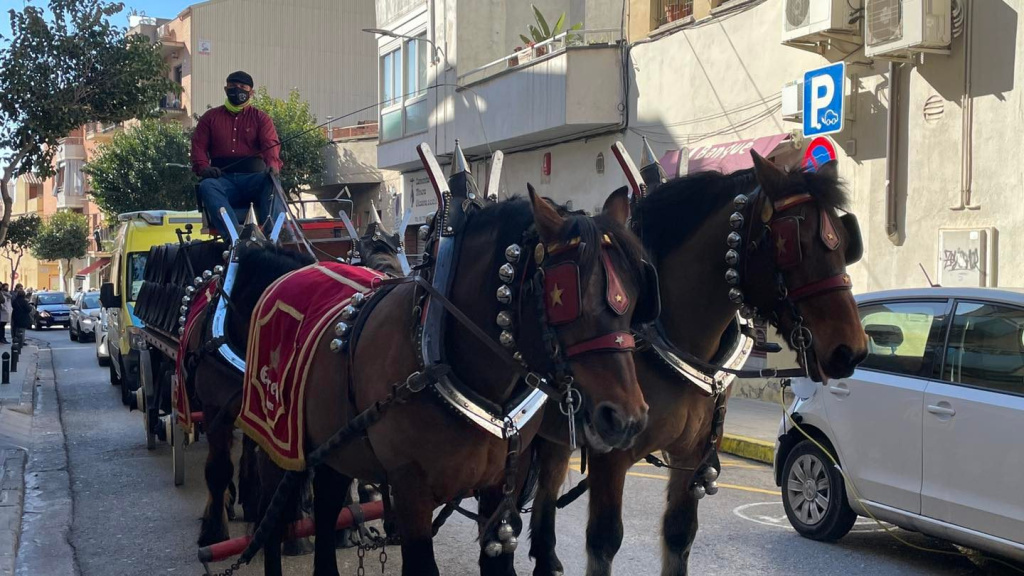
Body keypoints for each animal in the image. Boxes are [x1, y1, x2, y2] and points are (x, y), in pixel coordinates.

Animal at [246, 189, 647, 573]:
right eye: (565, 296)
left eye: (633, 296)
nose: (627, 419)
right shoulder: (411, 492)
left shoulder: (503, 486)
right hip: (277, 442)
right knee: (272, 518)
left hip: (337, 446)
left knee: (328, 505)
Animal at [528, 152, 872, 573]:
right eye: (795, 243)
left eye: (845, 242)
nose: (850, 350)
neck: (667, 332)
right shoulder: (611, 459)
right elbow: (604, 543)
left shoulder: (692, 457)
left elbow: (679, 535)